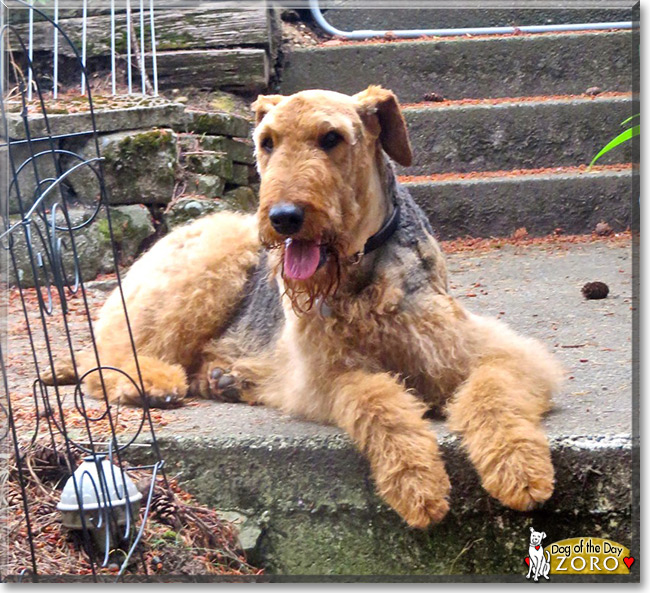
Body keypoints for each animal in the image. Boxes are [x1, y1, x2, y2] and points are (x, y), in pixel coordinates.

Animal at [50, 85, 560, 524]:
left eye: (330, 137)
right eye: (266, 142)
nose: (284, 218)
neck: (361, 275)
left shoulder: (501, 353)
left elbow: (492, 391)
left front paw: (520, 470)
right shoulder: (325, 376)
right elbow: (378, 401)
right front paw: (418, 484)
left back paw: (223, 378)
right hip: (215, 258)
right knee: (105, 359)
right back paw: (155, 383)